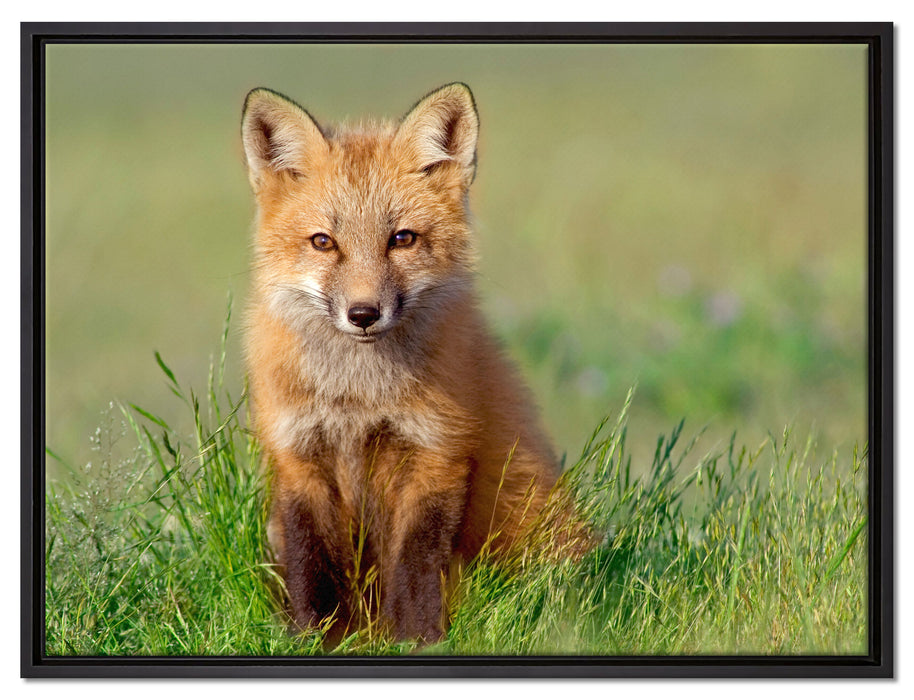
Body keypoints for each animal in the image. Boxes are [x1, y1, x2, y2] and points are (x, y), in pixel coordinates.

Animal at [241, 82, 582, 644]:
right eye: (323, 242)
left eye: (401, 239)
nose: (363, 314)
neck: (358, 398)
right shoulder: (298, 456)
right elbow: (311, 565)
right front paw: (316, 638)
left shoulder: (436, 452)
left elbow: (416, 564)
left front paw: (416, 640)